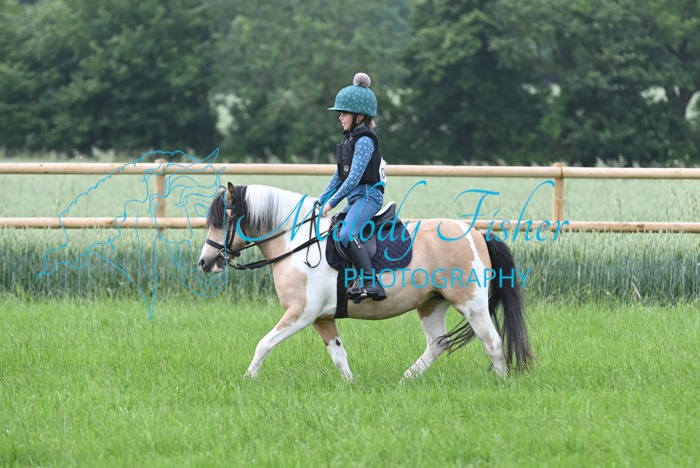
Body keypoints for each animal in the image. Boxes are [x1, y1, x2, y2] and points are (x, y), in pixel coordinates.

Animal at [198, 182, 533, 380]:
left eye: (223, 219)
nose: (205, 262)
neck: (297, 245)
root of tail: (477, 234)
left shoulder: (301, 314)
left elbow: (264, 344)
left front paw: (247, 379)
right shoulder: (321, 318)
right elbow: (338, 355)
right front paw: (351, 386)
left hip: (471, 303)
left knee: (492, 342)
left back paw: (500, 382)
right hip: (431, 303)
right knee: (438, 343)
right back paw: (406, 379)